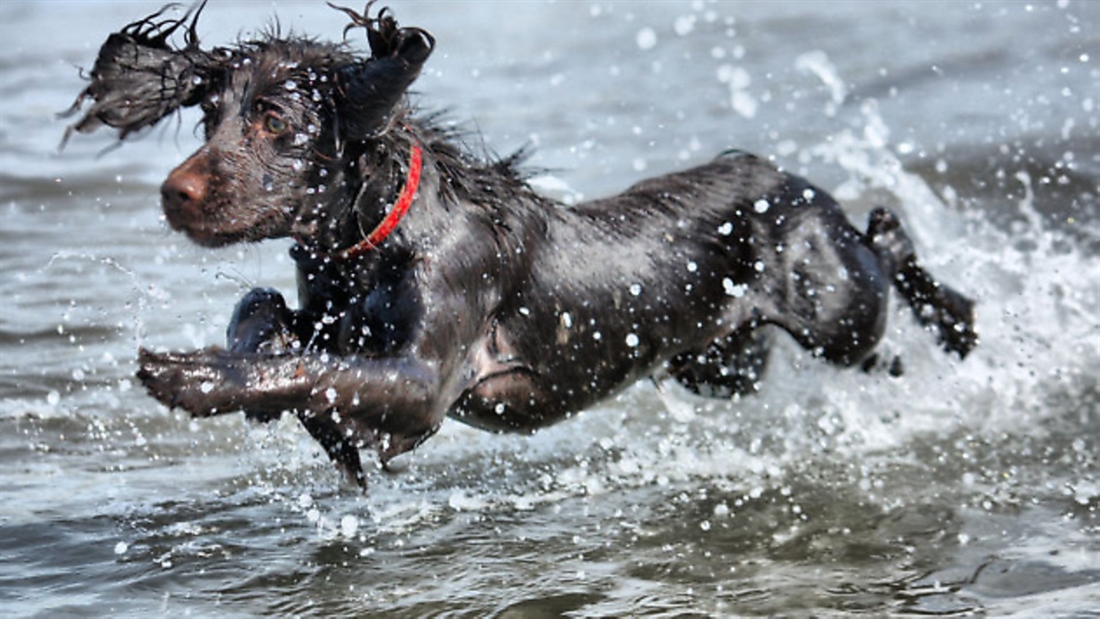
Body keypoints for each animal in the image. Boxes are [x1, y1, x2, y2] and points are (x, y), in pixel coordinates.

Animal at [66, 3, 981, 490]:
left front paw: (190, 377)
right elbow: (265, 315)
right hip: (720, 363)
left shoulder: (424, 383)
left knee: (889, 257)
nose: (173, 193)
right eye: (207, 116)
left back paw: (953, 312)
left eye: (274, 120)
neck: (374, 248)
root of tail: (790, 179)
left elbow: (315, 369)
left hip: (840, 311)